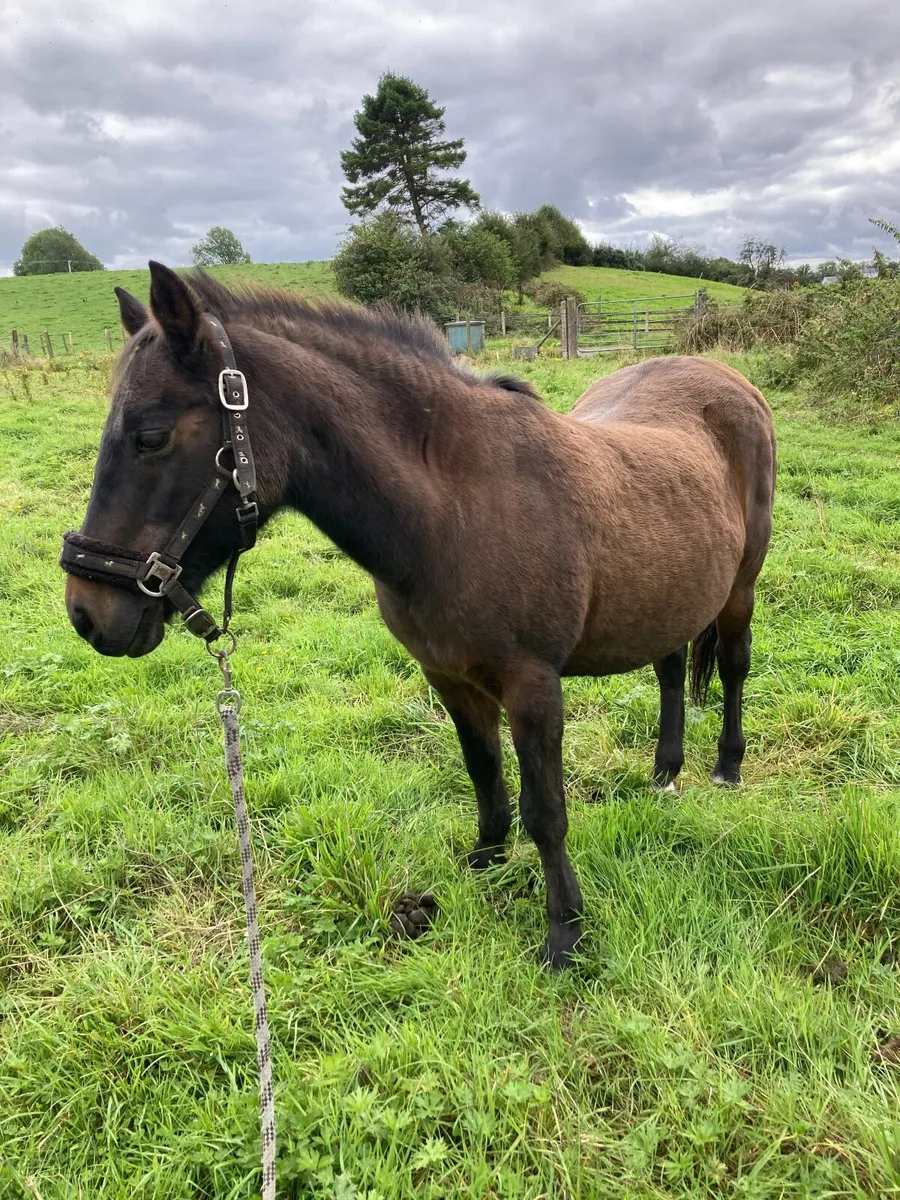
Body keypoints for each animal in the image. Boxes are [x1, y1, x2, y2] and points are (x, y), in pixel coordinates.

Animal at [62, 263, 776, 968]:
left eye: (151, 437)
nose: (87, 614)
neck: (455, 511)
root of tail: (731, 381)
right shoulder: (450, 678)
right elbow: (484, 773)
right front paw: (485, 864)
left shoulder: (533, 685)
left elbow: (546, 810)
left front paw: (564, 934)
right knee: (670, 668)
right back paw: (664, 773)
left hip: (739, 590)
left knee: (733, 668)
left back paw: (727, 767)